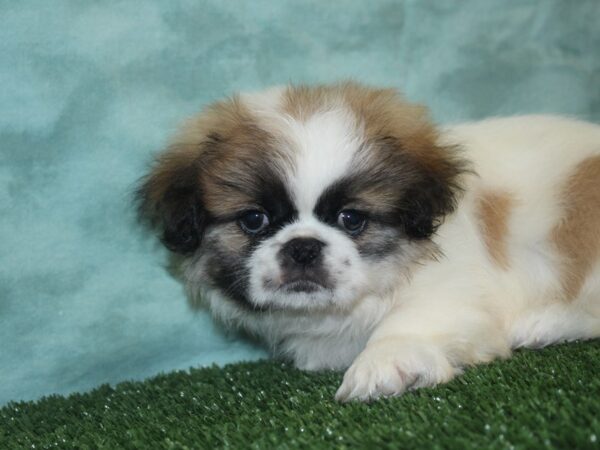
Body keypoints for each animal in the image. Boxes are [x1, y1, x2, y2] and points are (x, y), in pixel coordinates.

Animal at [136, 81, 600, 400]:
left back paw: (542, 324)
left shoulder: (453, 290)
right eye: (254, 220)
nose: (303, 246)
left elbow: (409, 320)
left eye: (351, 218)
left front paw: (381, 364)